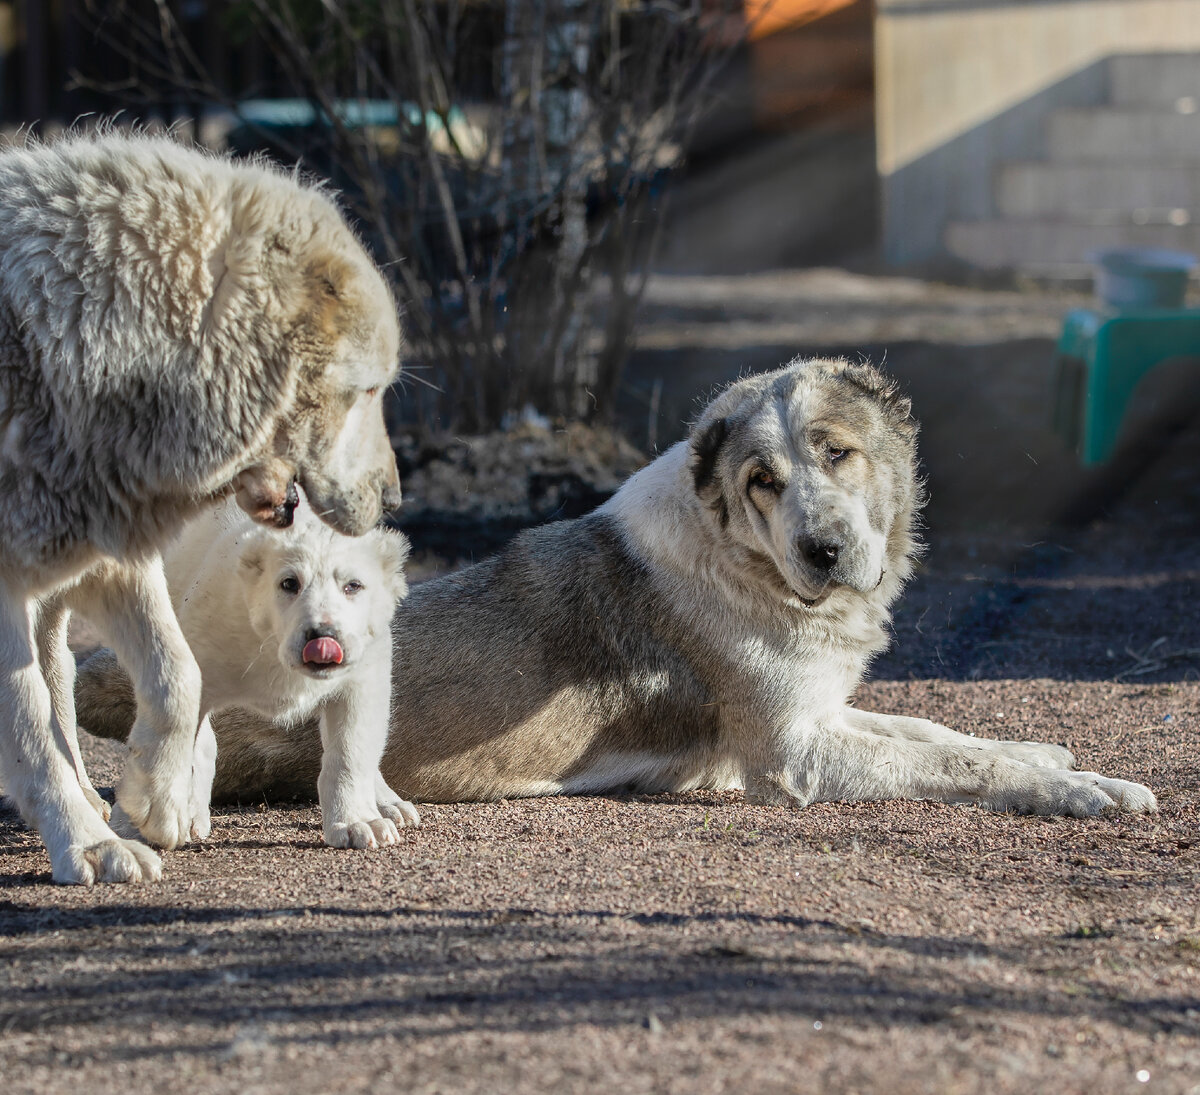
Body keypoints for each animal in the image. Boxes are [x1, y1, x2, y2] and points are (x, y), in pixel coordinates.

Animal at [156, 494, 417, 845]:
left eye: (353, 585)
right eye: (289, 583)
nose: (322, 636)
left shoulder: (365, 661)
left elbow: (353, 739)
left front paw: (359, 825)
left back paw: (392, 806)